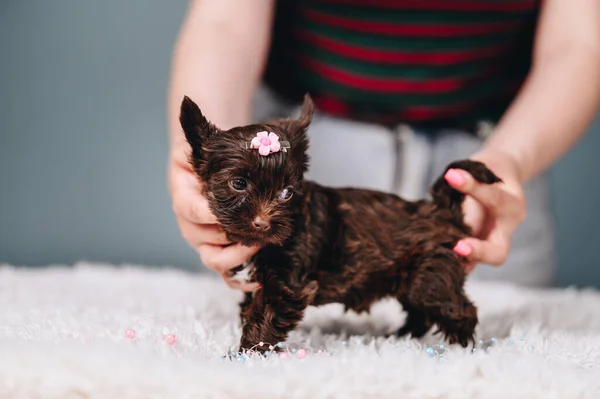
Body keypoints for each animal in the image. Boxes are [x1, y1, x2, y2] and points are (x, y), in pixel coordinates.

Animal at [178, 94, 502, 354]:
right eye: (238, 184)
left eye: (287, 192)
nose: (264, 224)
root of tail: (442, 208)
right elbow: (251, 310)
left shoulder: (286, 286)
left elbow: (263, 319)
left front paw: (247, 354)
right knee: (419, 313)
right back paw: (400, 338)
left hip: (431, 279)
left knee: (459, 310)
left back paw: (461, 350)